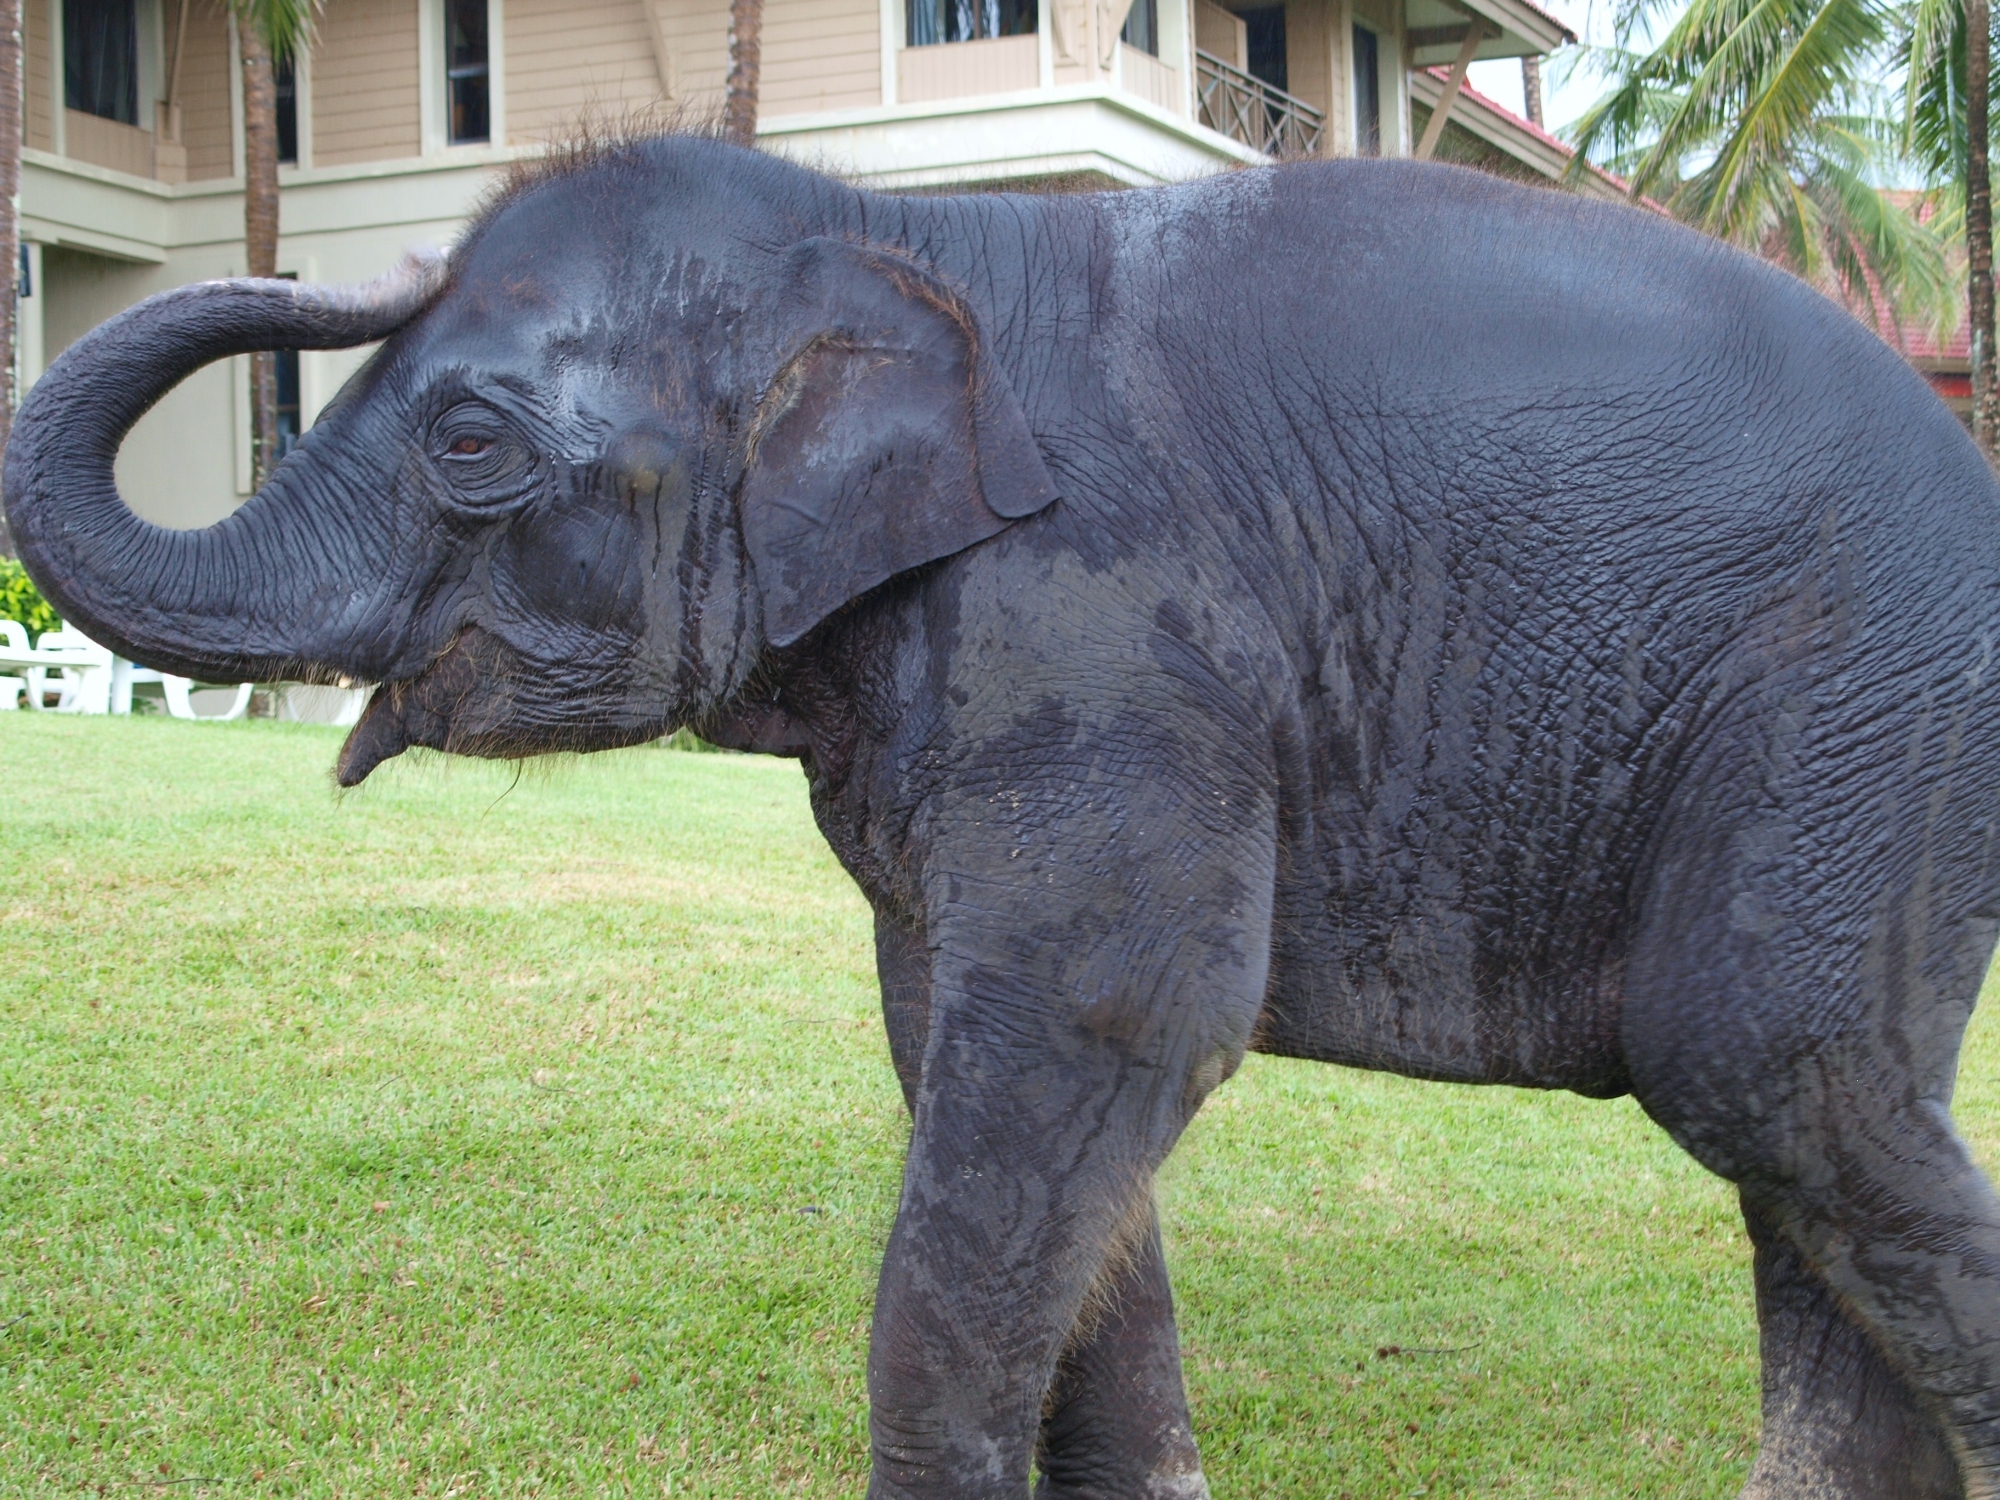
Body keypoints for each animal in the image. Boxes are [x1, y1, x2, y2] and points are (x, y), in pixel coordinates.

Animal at [11, 135, 2000, 1496]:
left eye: (471, 445)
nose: (372, 258)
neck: (909, 225)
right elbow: (968, 1058)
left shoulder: (1103, 633)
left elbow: (1103, 1033)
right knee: (1812, 1131)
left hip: (1853, 697)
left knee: (1765, 1069)